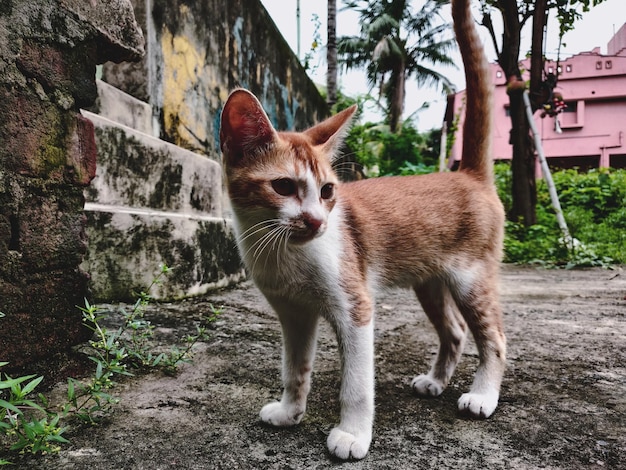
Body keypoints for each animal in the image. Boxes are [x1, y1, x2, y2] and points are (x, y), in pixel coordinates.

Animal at [218, 0, 502, 458]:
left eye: (328, 190)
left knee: (493, 338)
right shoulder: (293, 313)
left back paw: (483, 396)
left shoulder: (355, 307)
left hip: (471, 278)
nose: (317, 221)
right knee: (456, 332)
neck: (282, 252)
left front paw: (352, 434)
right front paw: (289, 412)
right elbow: (294, 367)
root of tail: (467, 174)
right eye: (284, 187)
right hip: (430, 283)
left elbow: (356, 384)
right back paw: (435, 381)